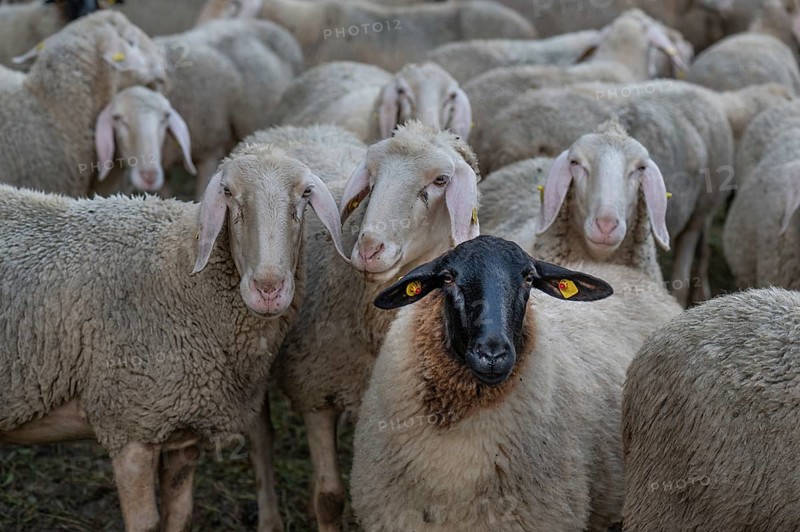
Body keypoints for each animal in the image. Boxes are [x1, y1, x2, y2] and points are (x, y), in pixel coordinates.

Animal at [0, 128, 350, 531]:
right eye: (227, 192)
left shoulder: (183, 428)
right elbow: (146, 524)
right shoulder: (132, 425)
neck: (183, 273)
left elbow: (179, 516)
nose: (268, 289)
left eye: (305, 194)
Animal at [94, 19, 304, 198]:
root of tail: (267, 23)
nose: (147, 176)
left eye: (165, 117)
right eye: (117, 118)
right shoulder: (164, 166)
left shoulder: (209, 150)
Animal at [272, 121, 481, 531]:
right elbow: (330, 499)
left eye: (441, 180)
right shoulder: (314, 387)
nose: (369, 249)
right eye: (372, 175)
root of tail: (293, 127)